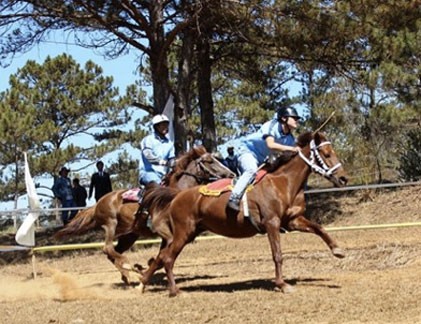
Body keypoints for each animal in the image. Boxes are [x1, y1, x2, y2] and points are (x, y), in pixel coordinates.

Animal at [53, 146, 233, 282]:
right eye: (209, 161)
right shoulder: (165, 232)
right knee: (107, 248)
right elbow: (163, 255)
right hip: (110, 224)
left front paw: (146, 268)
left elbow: (161, 256)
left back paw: (127, 275)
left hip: (130, 235)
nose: (231, 174)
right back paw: (128, 267)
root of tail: (99, 202)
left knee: (114, 252)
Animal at [138, 132, 348, 296]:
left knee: (162, 256)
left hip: (189, 233)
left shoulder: (292, 221)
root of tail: (178, 195)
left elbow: (319, 228)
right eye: (326, 154)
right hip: (183, 233)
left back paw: (144, 281)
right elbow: (277, 254)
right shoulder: (272, 223)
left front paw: (337, 250)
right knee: (167, 258)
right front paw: (282, 284)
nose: (344, 178)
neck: (283, 183)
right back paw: (174, 290)